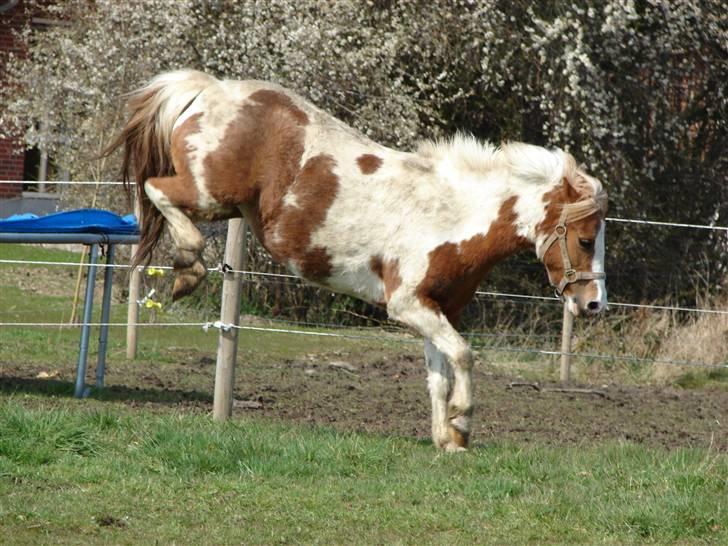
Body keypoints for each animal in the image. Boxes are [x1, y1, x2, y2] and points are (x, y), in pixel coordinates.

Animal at [106, 69, 608, 450]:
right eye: (586, 240)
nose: (594, 303)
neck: (449, 213)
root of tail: (206, 89)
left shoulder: (437, 310)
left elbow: (440, 373)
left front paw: (447, 440)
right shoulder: (407, 305)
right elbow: (465, 356)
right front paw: (462, 423)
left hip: (225, 205)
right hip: (210, 196)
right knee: (155, 190)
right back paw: (188, 268)